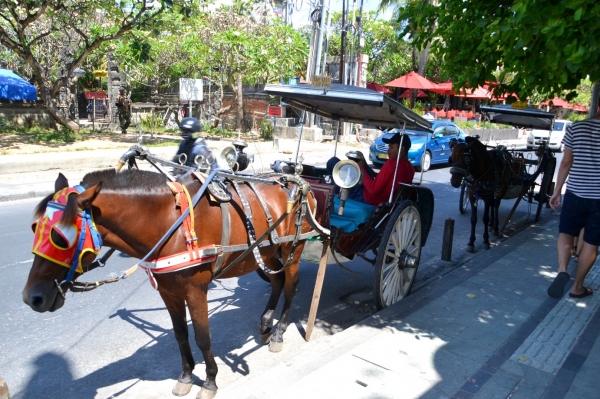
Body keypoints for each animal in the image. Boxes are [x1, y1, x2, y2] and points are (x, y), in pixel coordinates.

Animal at [21, 170, 316, 399]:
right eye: (35, 228)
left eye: (60, 237)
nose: (31, 298)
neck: (170, 224)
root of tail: (300, 183)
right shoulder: (168, 293)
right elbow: (180, 335)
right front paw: (186, 376)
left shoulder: (196, 291)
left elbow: (203, 338)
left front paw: (210, 381)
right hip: (266, 253)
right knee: (277, 281)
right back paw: (266, 323)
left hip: (293, 249)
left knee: (290, 286)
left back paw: (278, 332)